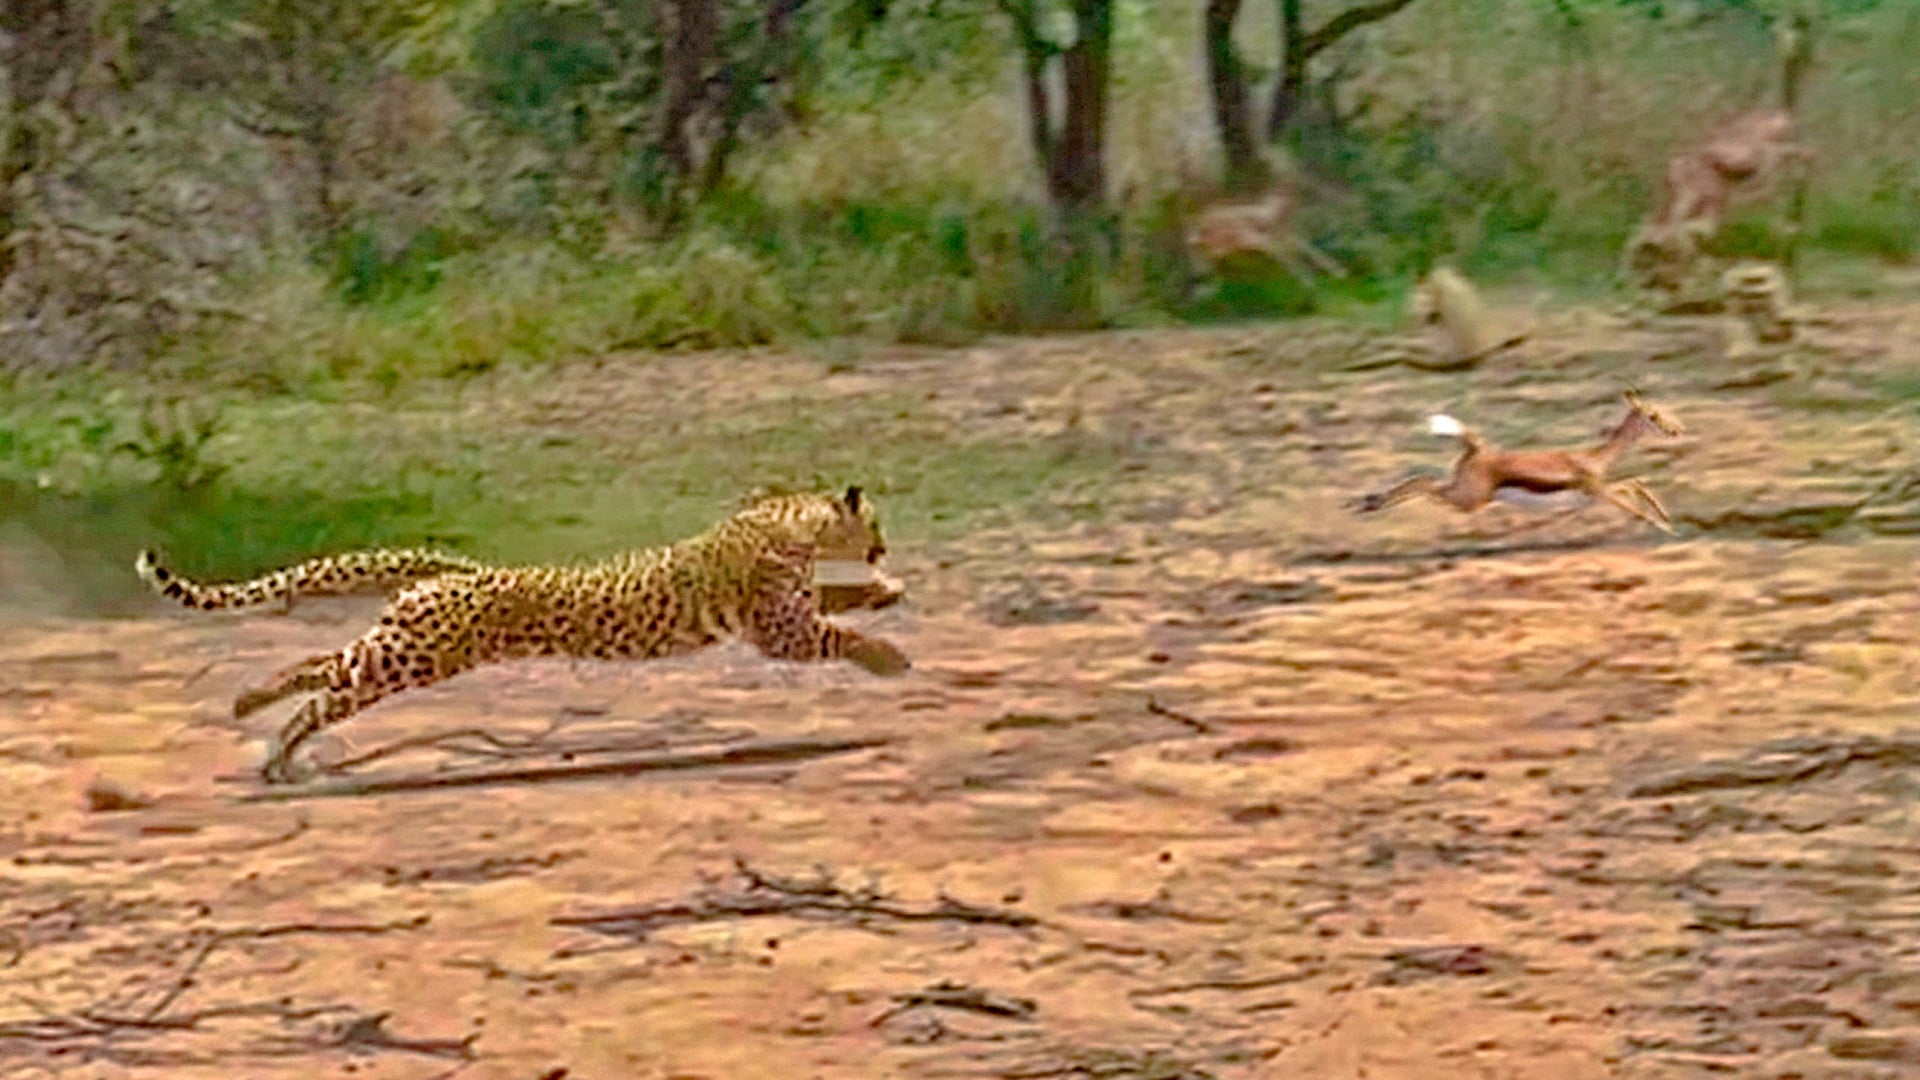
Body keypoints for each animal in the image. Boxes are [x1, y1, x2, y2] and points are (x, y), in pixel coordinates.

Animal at [137, 486, 911, 783]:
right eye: (874, 522)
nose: (883, 545)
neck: (795, 519)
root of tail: (457, 569)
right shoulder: (779, 630)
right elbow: (835, 635)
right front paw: (890, 657)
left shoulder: (789, 607)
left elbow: (838, 598)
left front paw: (885, 592)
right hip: (410, 659)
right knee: (326, 678)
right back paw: (268, 740)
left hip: (400, 649)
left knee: (322, 663)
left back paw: (259, 722)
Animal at [1351, 391, 1684, 534]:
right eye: (1653, 416)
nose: (1676, 430)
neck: (1593, 458)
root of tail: (1476, 447)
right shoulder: (1596, 491)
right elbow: (1633, 502)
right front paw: (1666, 528)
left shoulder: (1595, 493)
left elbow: (1635, 484)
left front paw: (1667, 519)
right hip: (1468, 500)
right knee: (1424, 483)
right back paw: (1370, 504)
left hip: (1463, 492)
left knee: (1423, 481)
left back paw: (1367, 502)